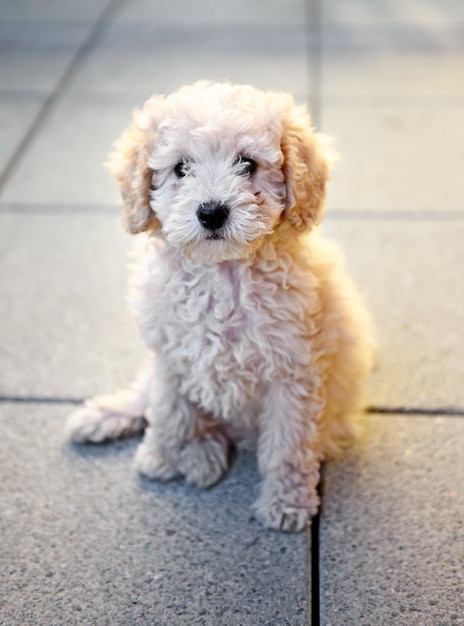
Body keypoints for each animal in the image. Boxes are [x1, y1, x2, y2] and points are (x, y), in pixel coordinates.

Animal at [68, 81, 374, 532]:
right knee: (146, 399)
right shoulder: (171, 352)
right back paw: (108, 421)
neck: (223, 273)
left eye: (247, 164)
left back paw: (201, 456)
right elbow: (168, 409)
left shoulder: (294, 372)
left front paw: (286, 504)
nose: (211, 212)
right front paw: (161, 456)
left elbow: (288, 445)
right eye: (181, 168)